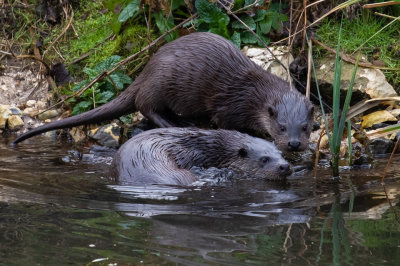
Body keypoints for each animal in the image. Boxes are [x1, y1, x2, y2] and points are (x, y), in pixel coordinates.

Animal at [11, 32, 312, 151]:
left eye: (306, 127)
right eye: (282, 127)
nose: (294, 144)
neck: (253, 94)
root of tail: (146, 70)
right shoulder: (230, 107)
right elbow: (224, 123)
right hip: (160, 85)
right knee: (146, 107)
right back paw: (176, 122)